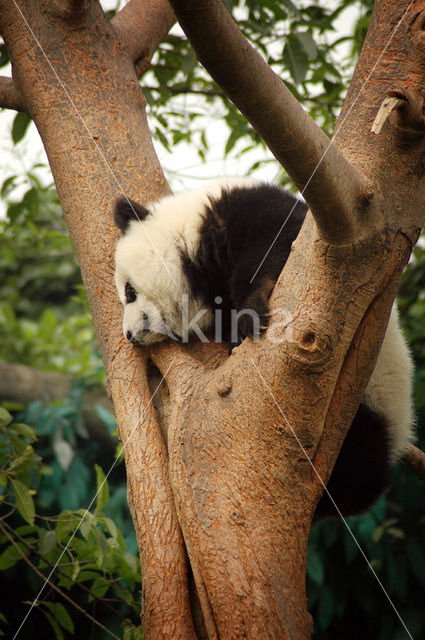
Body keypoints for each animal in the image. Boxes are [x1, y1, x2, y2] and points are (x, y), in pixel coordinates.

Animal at [113, 178, 414, 516]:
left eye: (129, 291)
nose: (129, 334)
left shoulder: (251, 211)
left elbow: (285, 247)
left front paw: (252, 312)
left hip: (372, 406)